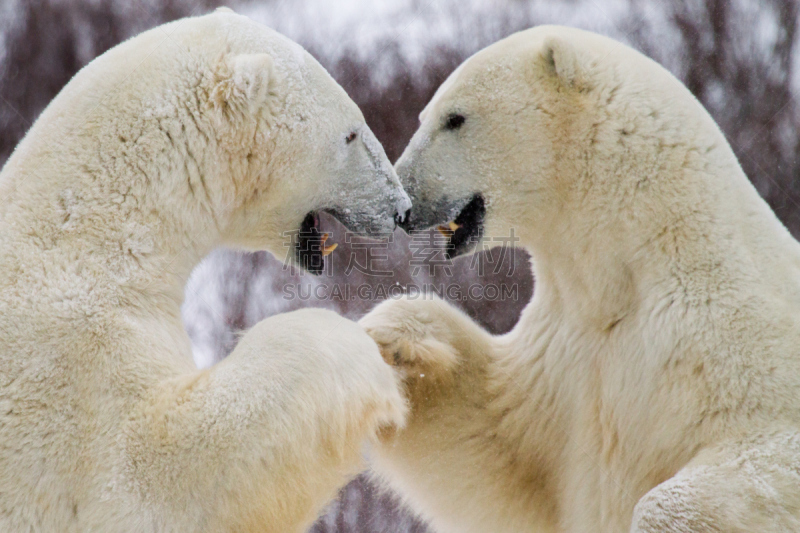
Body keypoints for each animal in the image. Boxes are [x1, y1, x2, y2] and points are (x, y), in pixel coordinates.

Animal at [0, 9, 412, 532]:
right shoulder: (75, 385)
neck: (83, 236)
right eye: (351, 134)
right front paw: (366, 351)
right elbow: (164, 477)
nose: (401, 208)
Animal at [360, 25, 800, 532]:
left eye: (455, 118)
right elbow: (491, 441)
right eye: (425, 114)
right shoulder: (564, 356)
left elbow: (759, 464)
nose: (404, 201)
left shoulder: (726, 351)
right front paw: (391, 340)